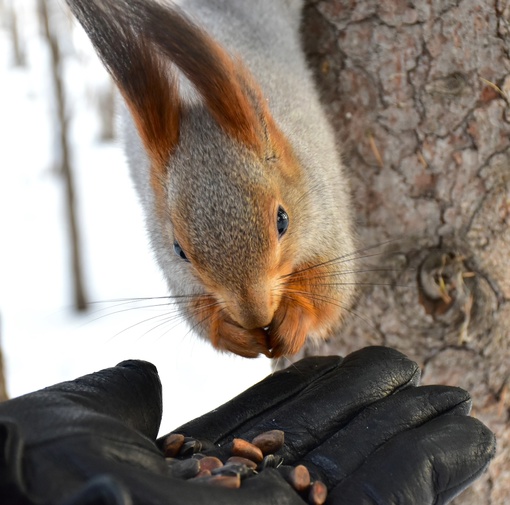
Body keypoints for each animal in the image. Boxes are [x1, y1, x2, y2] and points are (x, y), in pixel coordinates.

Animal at [64, 0, 354, 358]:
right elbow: (199, 315)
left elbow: (330, 289)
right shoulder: (178, 274)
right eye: (178, 250)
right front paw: (234, 334)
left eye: (282, 220)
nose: (255, 316)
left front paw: (294, 320)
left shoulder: (326, 220)